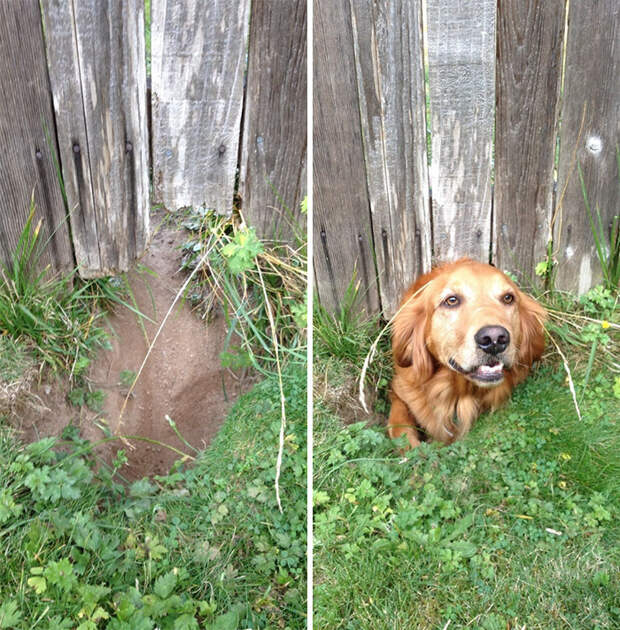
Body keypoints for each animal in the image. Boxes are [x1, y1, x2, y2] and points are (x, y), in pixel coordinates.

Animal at [390, 260, 544, 450]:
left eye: (508, 298)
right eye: (451, 300)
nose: (494, 339)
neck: (457, 392)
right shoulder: (399, 391)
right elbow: (399, 427)